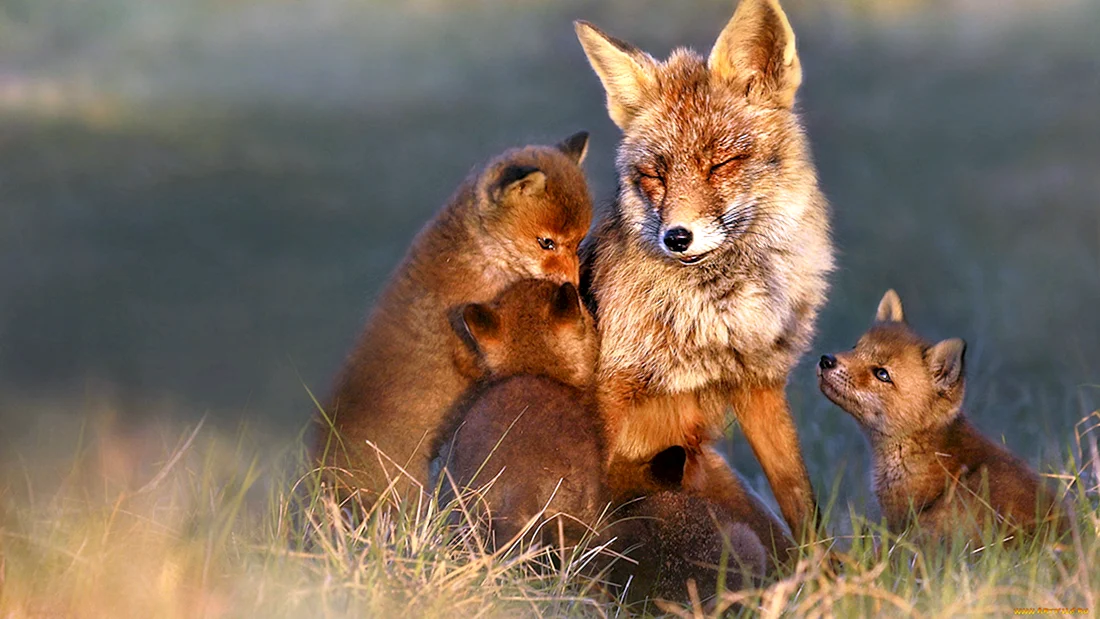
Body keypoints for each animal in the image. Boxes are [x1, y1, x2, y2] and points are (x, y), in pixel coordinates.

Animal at [574, 0, 833, 546]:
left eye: (721, 163)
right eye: (655, 174)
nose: (677, 237)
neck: (711, 317)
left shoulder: (759, 383)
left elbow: (801, 500)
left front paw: (825, 569)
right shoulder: (611, 390)